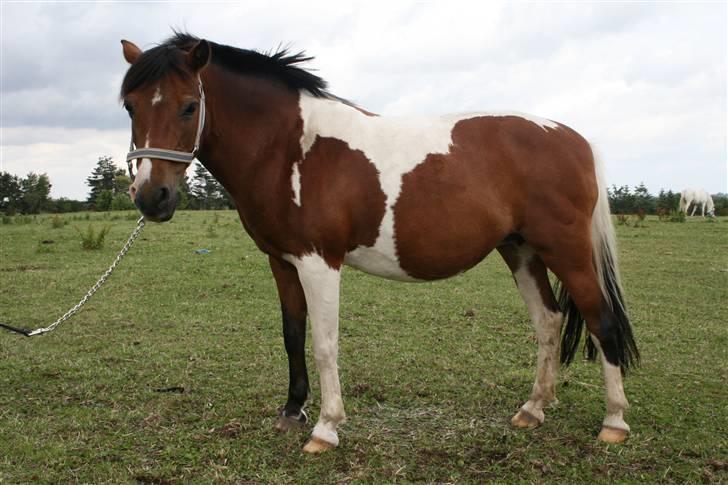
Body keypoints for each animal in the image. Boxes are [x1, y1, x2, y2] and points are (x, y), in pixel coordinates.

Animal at [122, 34, 640, 454]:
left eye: (189, 105)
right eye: (129, 105)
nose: (151, 197)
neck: (292, 148)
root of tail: (573, 138)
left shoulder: (319, 262)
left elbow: (324, 342)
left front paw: (325, 428)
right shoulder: (282, 261)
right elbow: (292, 334)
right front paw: (291, 413)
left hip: (567, 251)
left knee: (601, 321)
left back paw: (613, 421)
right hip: (521, 250)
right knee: (549, 321)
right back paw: (533, 409)